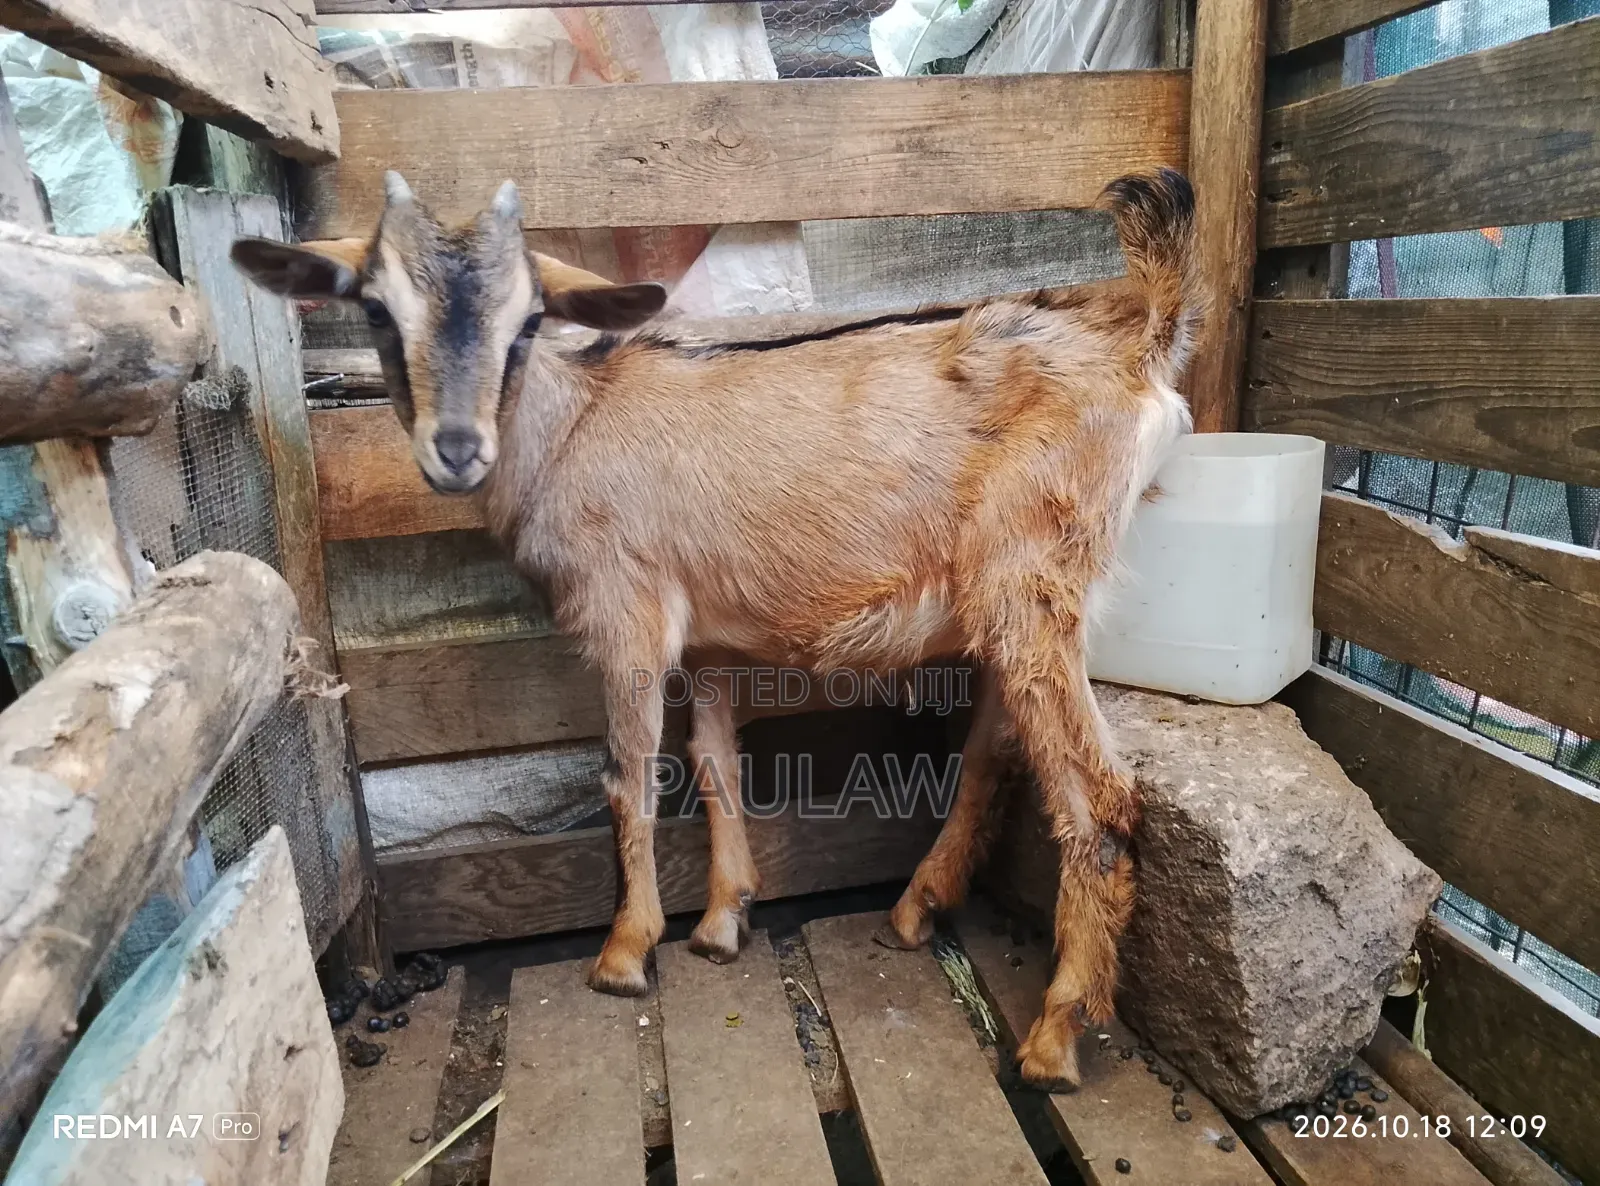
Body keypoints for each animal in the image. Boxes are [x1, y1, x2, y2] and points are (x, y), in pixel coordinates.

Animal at [233, 168, 1200, 1090]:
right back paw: (919, 907)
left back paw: (1057, 1031)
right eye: (377, 309)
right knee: (1000, 747)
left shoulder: (626, 610)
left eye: (528, 319)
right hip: (1021, 596)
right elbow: (712, 759)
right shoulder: (707, 640)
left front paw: (625, 951)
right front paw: (722, 920)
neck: (573, 424)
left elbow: (628, 771)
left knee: (1098, 791)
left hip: (1028, 576)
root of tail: (1143, 334)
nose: (457, 448)